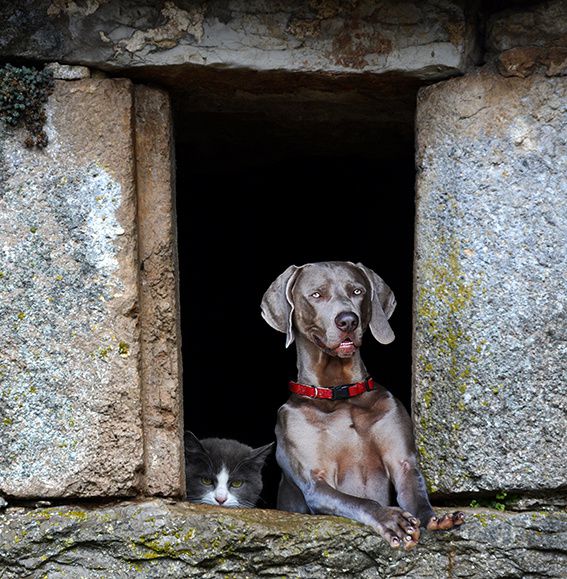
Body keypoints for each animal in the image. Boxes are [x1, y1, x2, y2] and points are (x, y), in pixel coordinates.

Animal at [262, 260, 466, 552]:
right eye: (316, 294)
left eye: (357, 291)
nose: (348, 320)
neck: (341, 394)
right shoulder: (315, 481)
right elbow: (361, 501)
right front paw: (391, 518)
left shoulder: (403, 462)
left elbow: (416, 493)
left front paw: (434, 518)